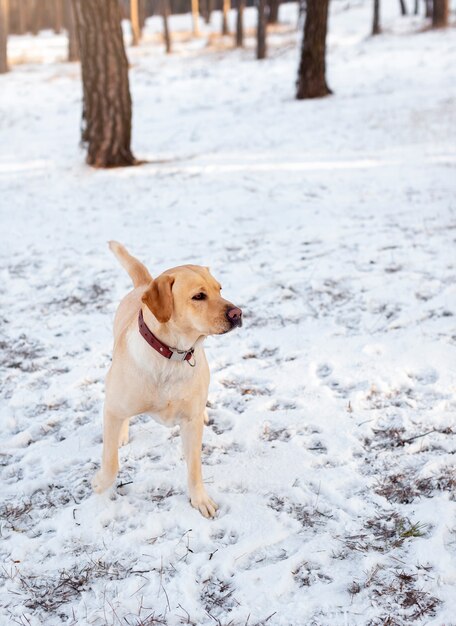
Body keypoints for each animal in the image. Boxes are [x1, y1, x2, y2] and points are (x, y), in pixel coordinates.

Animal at [91, 241, 242, 516]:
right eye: (198, 296)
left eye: (220, 289)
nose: (238, 313)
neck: (172, 356)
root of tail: (144, 284)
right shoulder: (112, 408)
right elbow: (110, 462)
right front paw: (99, 483)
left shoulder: (191, 423)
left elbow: (194, 468)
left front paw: (200, 500)